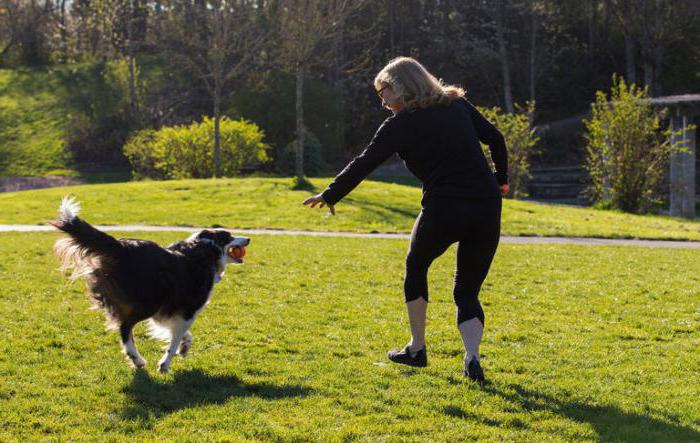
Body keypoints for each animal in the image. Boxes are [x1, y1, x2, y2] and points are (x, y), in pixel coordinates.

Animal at [51, 196, 249, 372]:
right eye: (229, 236)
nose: (248, 239)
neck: (207, 248)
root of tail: (121, 247)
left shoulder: (169, 311)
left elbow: (182, 334)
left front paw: (184, 347)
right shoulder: (188, 310)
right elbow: (174, 340)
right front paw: (165, 364)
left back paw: (136, 359)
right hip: (149, 302)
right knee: (125, 327)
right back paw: (137, 359)